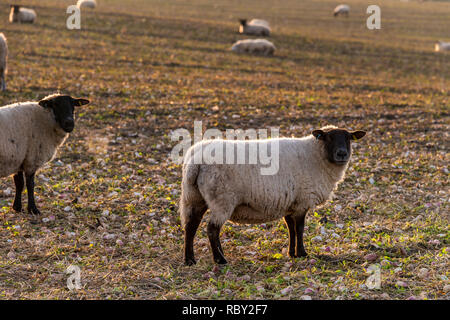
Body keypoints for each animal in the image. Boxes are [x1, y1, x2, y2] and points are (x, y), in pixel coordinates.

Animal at [179, 125, 366, 264]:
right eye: (328, 138)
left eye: (349, 138)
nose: (342, 154)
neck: (316, 155)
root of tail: (195, 161)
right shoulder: (302, 201)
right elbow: (299, 228)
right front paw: (302, 253)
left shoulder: (291, 203)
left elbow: (291, 228)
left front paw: (292, 253)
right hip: (222, 199)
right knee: (212, 229)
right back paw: (220, 259)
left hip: (194, 197)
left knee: (191, 226)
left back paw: (190, 260)